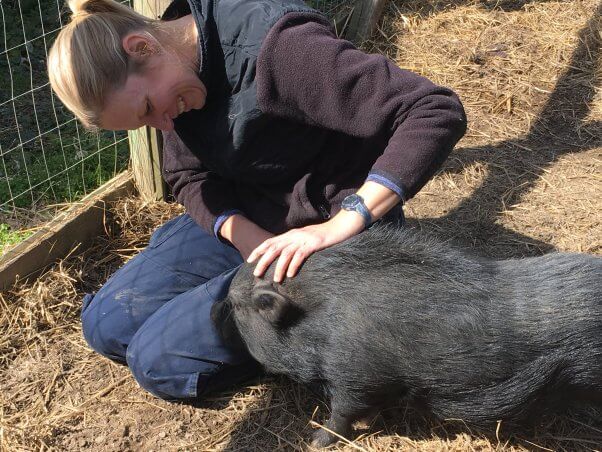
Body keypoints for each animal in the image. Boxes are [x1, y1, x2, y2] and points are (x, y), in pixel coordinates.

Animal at [210, 226, 596, 448]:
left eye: (237, 306)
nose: (215, 308)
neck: (319, 321)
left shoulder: (357, 377)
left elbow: (343, 413)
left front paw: (316, 440)